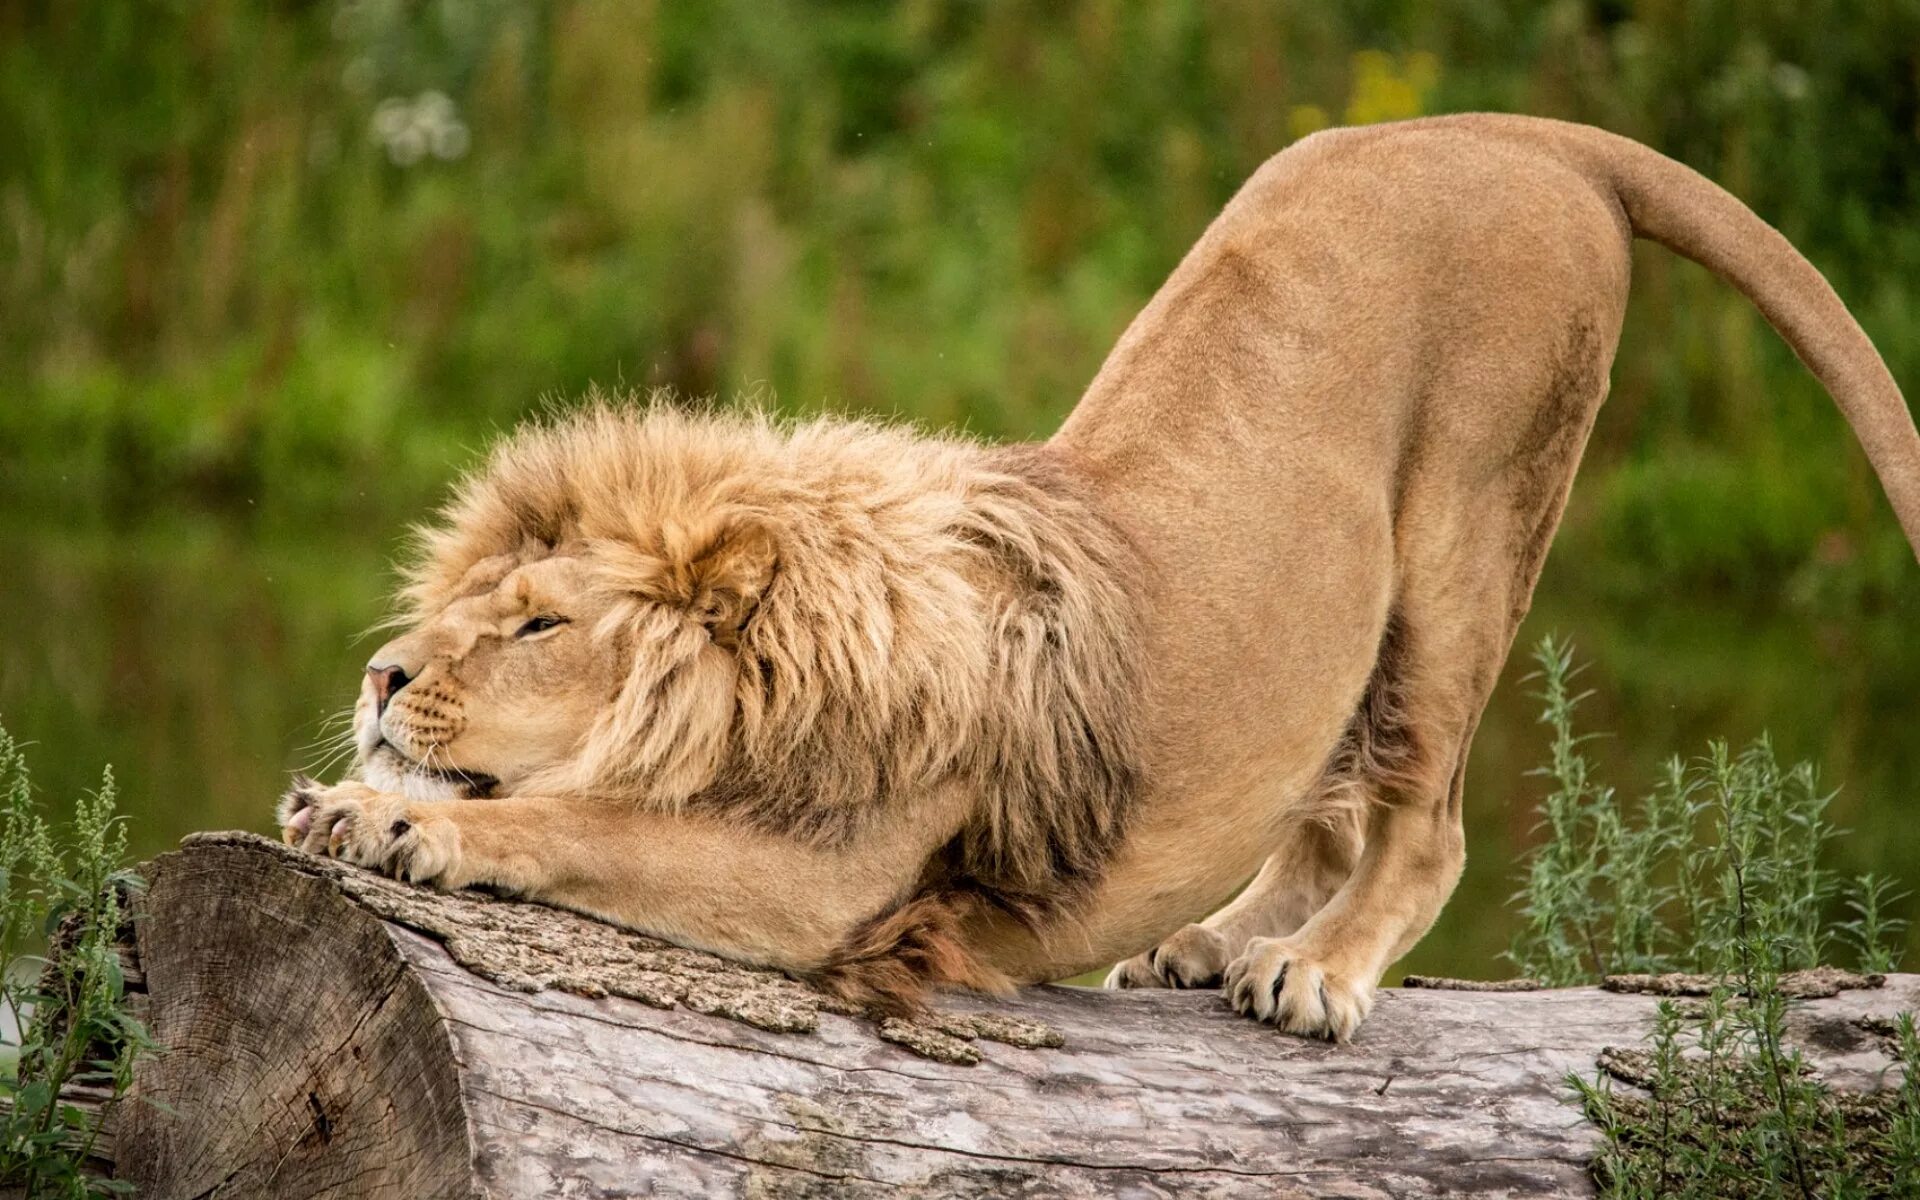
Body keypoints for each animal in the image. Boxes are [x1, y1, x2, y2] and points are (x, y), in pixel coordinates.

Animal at [274, 117, 1920, 1044]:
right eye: (452, 615)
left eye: (543, 624)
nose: (379, 677)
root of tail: (1535, 135)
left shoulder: (842, 876)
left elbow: (578, 821)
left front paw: (380, 817)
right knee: (1326, 803)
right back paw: (1214, 945)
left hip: (1470, 533)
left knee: (1427, 823)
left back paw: (1316, 976)